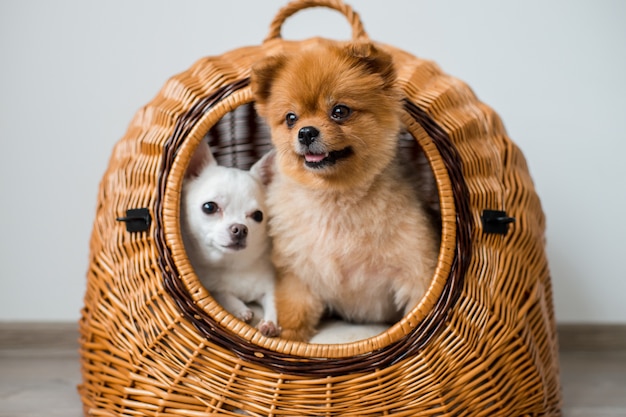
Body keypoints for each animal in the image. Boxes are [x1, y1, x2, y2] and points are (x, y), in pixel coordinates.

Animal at [180, 141, 278, 336]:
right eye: (209, 207)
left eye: (258, 216)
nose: (239, 229)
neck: (234, 264)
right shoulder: (211, 288)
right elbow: (224, 295)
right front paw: (239, 310)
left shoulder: (271, 285)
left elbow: (274, 301)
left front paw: (270, 323)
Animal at [250, 40, 438, 342]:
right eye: (290, 118)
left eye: (340, 111)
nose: (305, 132)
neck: (334, 198)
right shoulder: (298, 275)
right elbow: (294, 310)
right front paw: (288, 337)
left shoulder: (416, 275)